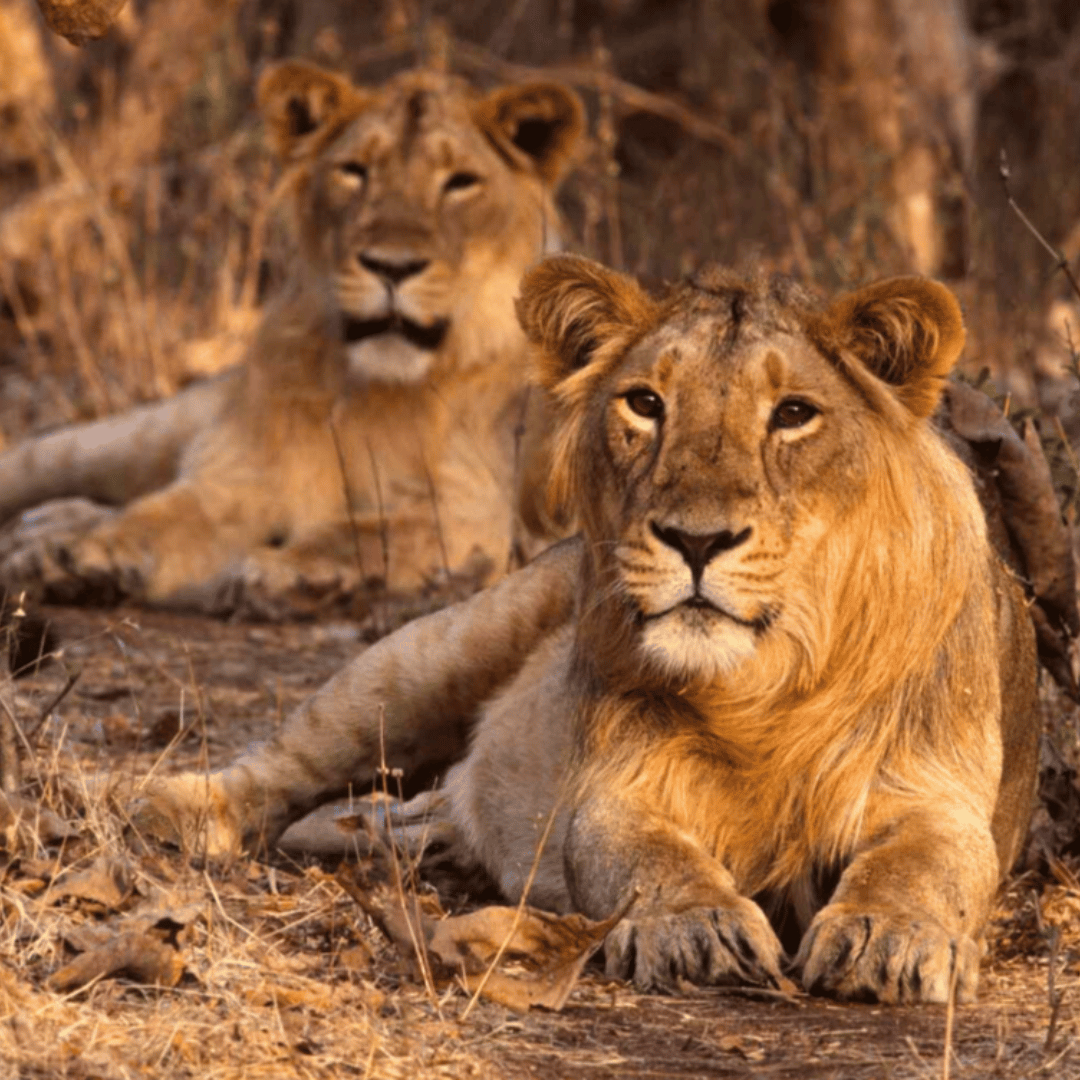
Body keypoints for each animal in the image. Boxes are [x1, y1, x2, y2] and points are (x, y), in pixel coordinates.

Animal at [0, 60, 583, 612]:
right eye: (354, 172)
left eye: (460, 182)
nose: (392, 267)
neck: (379, 393)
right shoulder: (239, 481)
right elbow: (155, 518)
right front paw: (75, 557)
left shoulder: (479, 514)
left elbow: (375, 532)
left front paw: (293, 571)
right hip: (132, 437)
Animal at [136, 255, 1040, 1004]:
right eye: (645, 403)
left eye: (793, 414)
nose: (696, 541)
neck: (767, 689)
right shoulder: (615, 785)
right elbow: (641, 855)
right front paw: (695, 925)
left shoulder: (938, 793)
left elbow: (926, 863)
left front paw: (889, 936)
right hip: (433, 654)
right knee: (285, 763)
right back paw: (159, 804)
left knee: (401, 808)